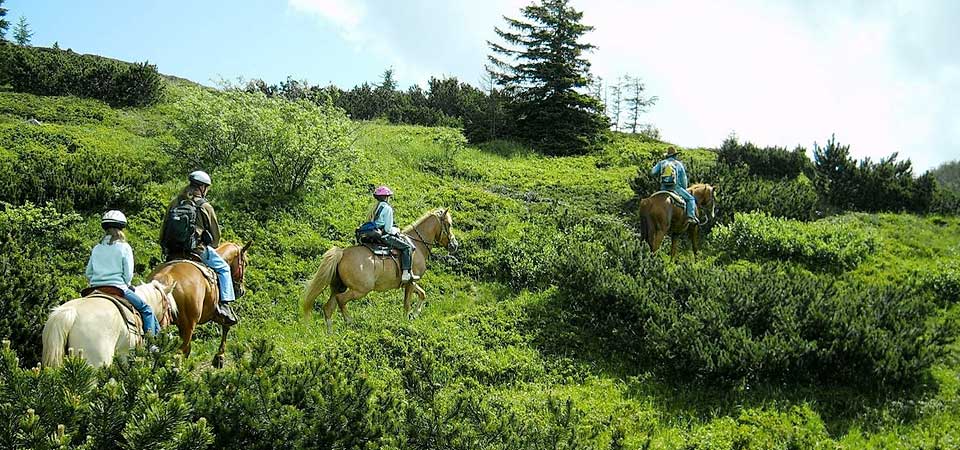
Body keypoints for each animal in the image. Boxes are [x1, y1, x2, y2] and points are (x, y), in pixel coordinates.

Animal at [304, 208, 462, 334]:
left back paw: (330, 334)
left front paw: (415, 314)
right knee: (341, 300)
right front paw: (407, 321)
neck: (416, 245)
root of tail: (342, 253)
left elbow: (423, 294)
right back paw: (350, 322)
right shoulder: (410, 283)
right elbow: (407, 304)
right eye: (449, 224)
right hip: (361, 289)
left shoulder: (410, 282)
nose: (454, 245)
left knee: (328, 308)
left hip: (338, 287)